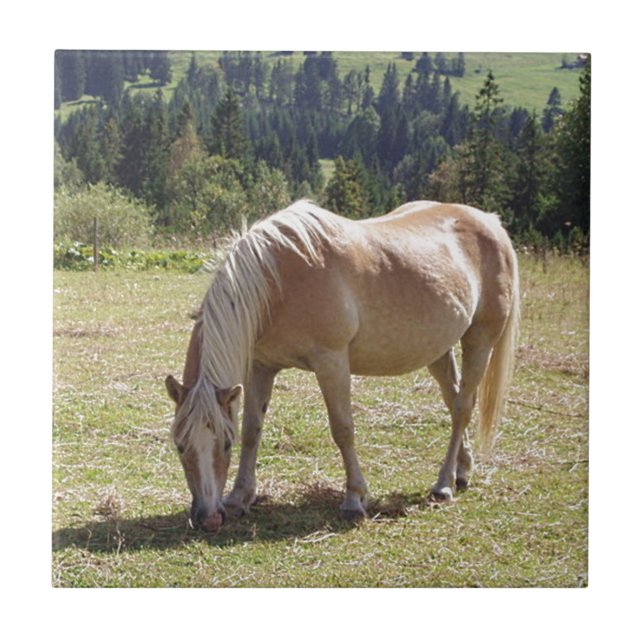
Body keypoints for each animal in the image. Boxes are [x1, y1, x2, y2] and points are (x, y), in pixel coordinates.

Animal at [165, 200, 520, 532]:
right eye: (180, 445)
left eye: (225, 443)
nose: (209, 518)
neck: (277, 280)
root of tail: (490, 222)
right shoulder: (261, 368)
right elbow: (253, 430)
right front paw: (240, 497)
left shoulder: (331, 361)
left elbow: (343, 429)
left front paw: (354, 500)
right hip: (439, 349)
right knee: (454, 400)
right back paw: (463, 472)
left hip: (480, 340)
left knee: (462, 406)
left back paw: (443, 484)